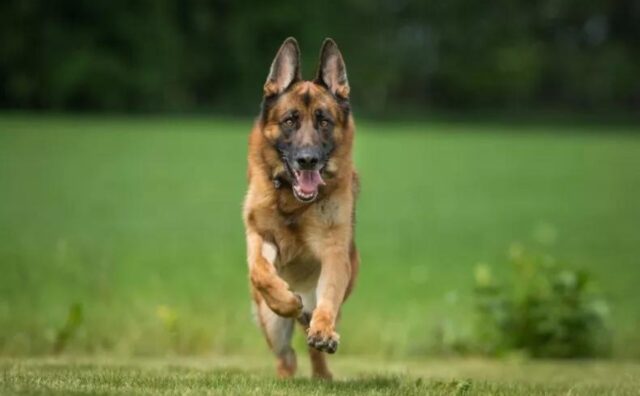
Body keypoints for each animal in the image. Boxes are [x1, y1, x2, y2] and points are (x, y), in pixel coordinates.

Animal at [241, 38, 358, 380]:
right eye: (290, 120)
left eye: (324, 121)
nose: (308, 160)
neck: (294, 204)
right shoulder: (258, 235)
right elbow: (260, 271)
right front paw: (286, 300)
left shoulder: (334, 253)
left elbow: (327, 300)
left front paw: (323, 330)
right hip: (272, 327)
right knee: (287, 357)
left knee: (310, 342)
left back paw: (321, 366)